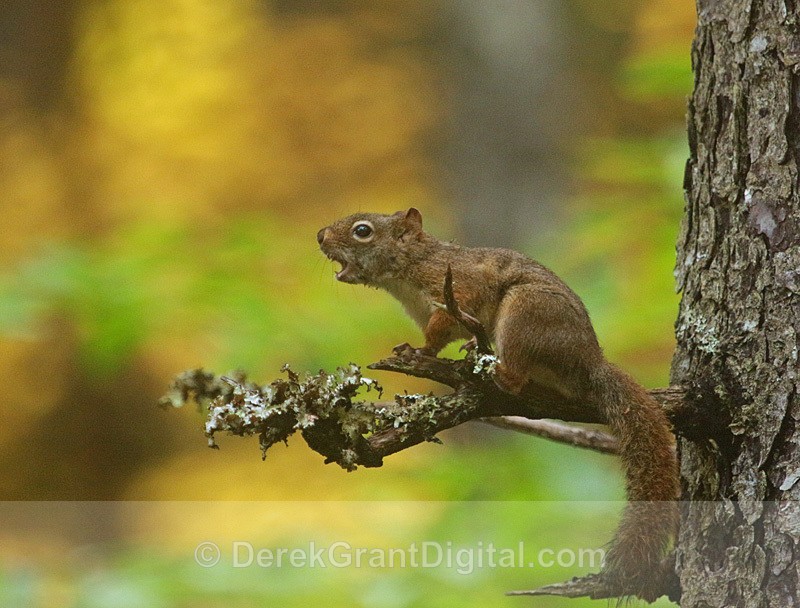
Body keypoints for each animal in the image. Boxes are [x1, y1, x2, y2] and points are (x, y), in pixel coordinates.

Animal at [317, 207, 679, 602]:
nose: (320, 236)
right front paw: (433, 350)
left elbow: (440, 330)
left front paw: (419, 352)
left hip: (525, 312)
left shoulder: (459, 287)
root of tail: (588, 363)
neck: (413, 266)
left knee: (518, 374)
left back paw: (498, 373)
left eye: (362, 231)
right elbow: (442, 340)